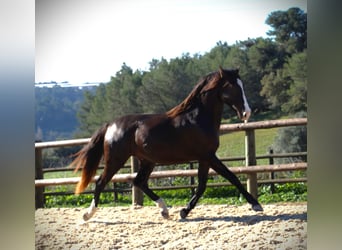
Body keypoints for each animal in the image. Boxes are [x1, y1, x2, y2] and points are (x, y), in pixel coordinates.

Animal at [69, 67, 262, 221]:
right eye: (232, 86)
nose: (246, 113)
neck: (198, 118)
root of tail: (110, 125)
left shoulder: (206, 158)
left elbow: (213, 182)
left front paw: (184, 211)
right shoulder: (207, 156)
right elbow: (222, 179)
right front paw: (256, 205)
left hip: (148, 161)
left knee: (139, 182)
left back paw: (164, 210)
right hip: (116, 159)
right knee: (101, 182)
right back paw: (88, 215)